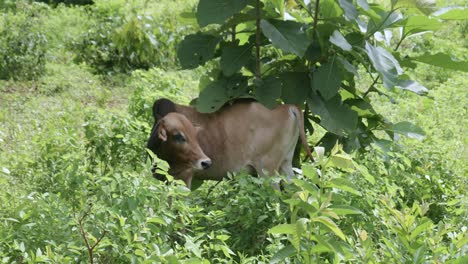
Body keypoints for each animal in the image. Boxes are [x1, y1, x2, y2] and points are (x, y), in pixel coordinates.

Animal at [147, 98, 314, 188]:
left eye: (194, 135)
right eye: (179, 136)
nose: (206, 162)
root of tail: (286, 107)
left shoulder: (184, 176)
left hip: (267, 171)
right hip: (285, 164)